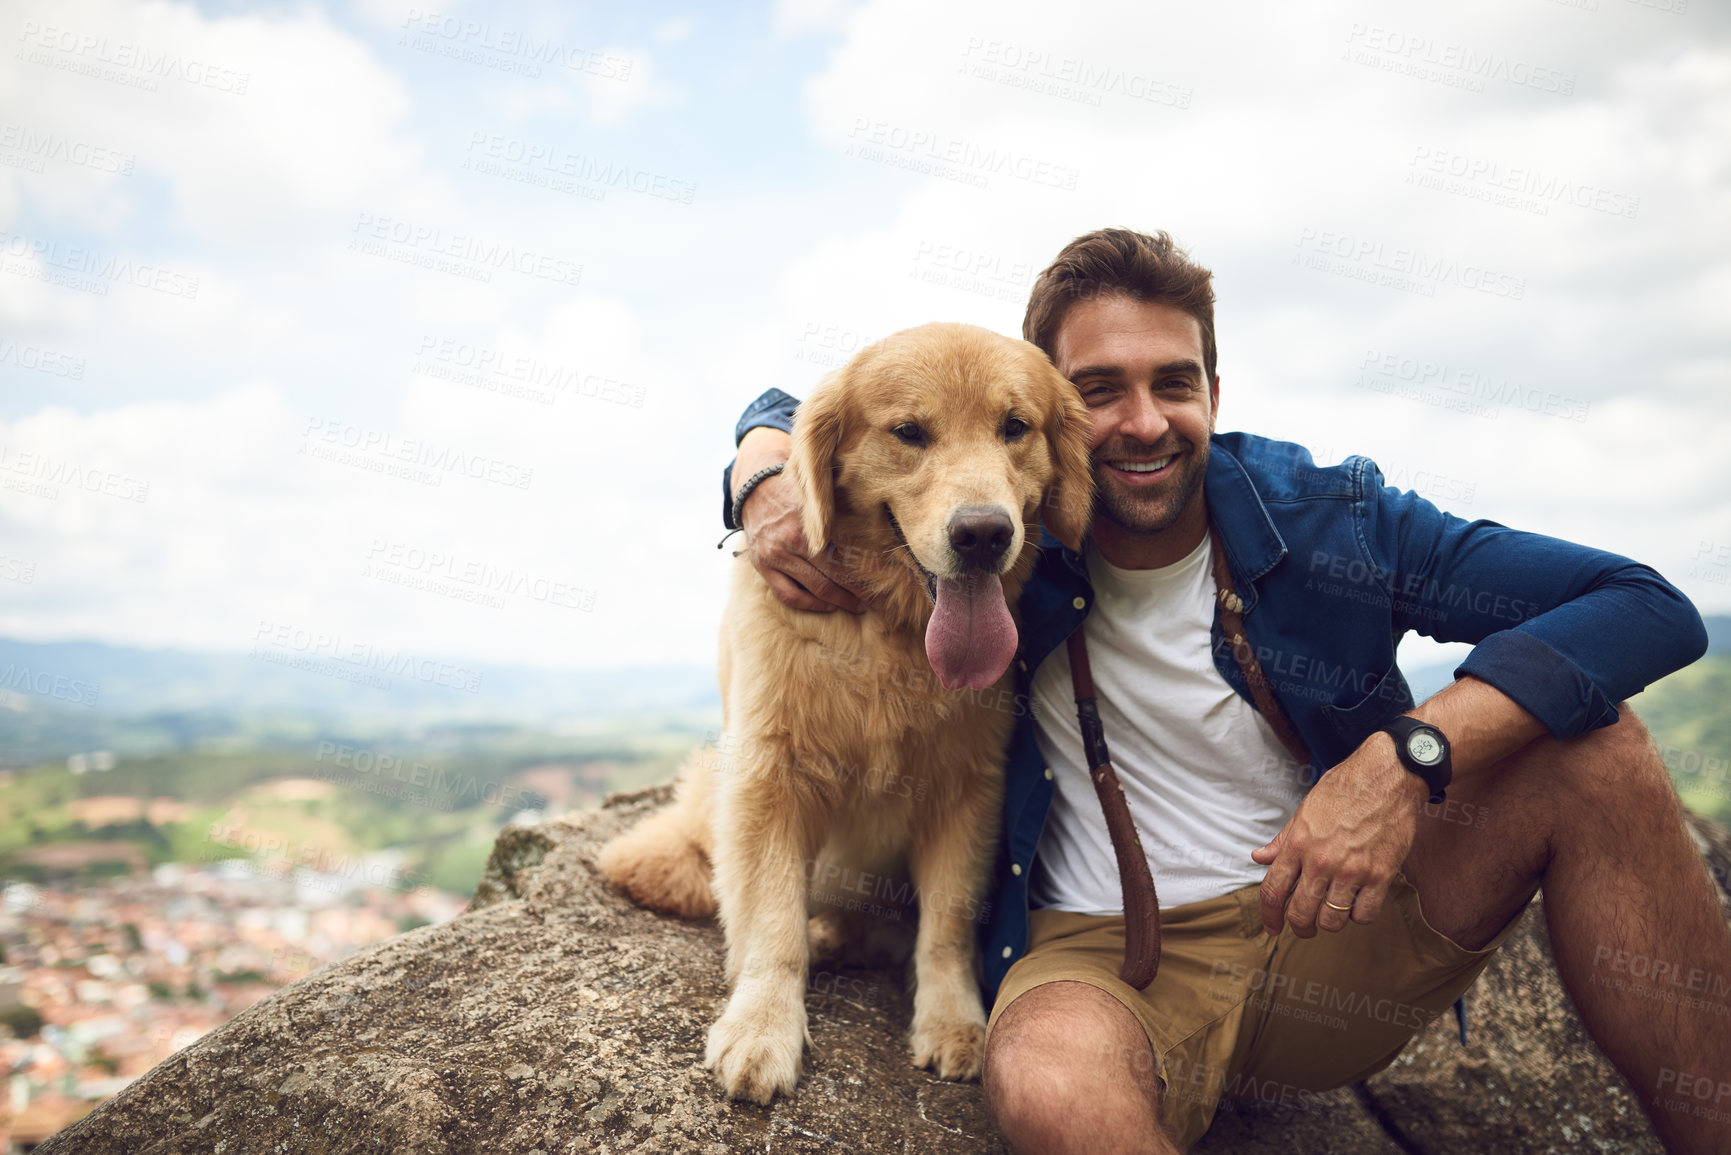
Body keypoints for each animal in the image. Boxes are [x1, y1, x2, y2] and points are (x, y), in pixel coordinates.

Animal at [595, 320, 1080, 1108]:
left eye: (1015, 427)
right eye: (909, 432)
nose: (982, 534)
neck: (890, 628)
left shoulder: (969, 786)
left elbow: (947, 924)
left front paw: (954, 1021)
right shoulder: (768, 772)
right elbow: (771, 920)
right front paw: (763, 1026)